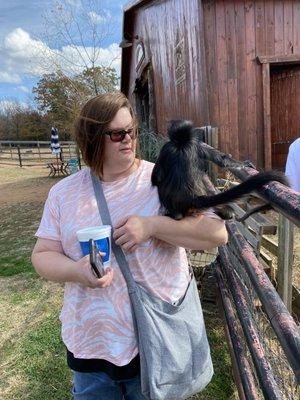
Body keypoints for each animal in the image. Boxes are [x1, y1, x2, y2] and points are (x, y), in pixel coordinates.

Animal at [151, 120, 290, 220]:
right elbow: (222, 160)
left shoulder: (167, 147)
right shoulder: (197, 145)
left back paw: (176, 216)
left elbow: (156, 178)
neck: (181, 143)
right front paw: (245, 164)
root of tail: (192, 197)